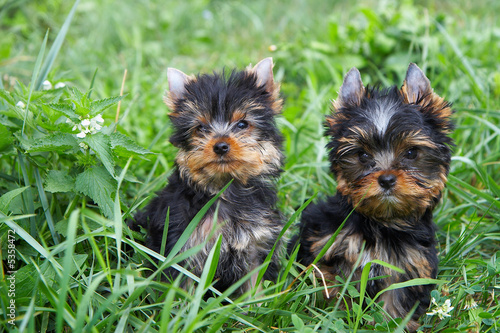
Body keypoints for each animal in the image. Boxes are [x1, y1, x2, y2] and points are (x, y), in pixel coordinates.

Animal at [131, 57, 284, 296]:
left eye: (242, 124)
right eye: (200, 128)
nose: (220, 145)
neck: (223, 188)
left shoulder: (253, 244)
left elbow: (252, 281)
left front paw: (254, 304)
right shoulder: (185, 245)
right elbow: (183, 285)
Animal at [292, 63, 454, 330]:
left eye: (411, 153)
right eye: (362, 155)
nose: (386, 179)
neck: (381, 223)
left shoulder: (408, 264)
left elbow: (397, 300)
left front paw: (393, 323)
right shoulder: (326, 242)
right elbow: (329, 280)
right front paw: (336, 312)